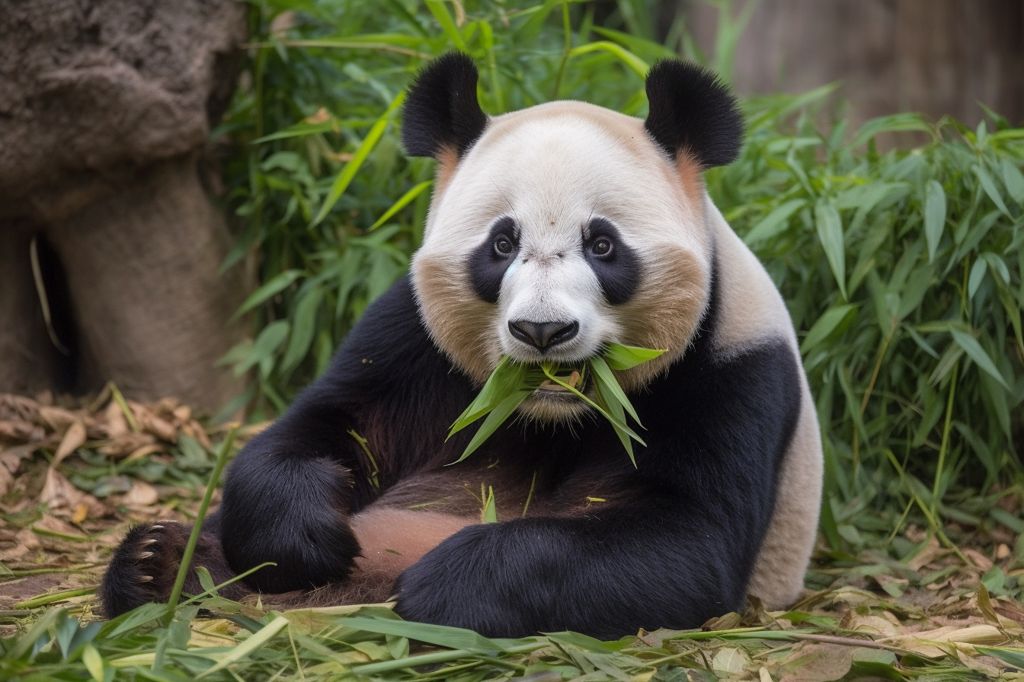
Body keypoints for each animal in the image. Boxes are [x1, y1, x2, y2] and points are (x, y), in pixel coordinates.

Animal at [102, 53, 823, 639]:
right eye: (501, 243)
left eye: (603, 244)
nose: (542, 332)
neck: (552, 414)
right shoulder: (417, 338)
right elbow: (331, 424)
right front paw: (302, 534)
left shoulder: (732, 366)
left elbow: (688, 540)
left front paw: (444, 586)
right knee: (210, 552)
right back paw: (156, 562)